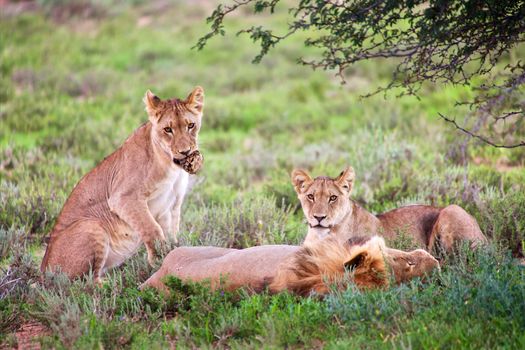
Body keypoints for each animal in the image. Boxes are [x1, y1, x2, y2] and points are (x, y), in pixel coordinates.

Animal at [41, 86, 205, 284]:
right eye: (168, 129)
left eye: (191, 125)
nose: (186, 152)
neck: (170, 166)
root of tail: (42, 272)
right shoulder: (123, 197)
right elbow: (152, 229)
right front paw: (158, 261)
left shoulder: (173, 205)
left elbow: (172, 234)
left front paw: (172, 255)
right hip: (91, 225)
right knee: (85, 282)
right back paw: (117, 283)